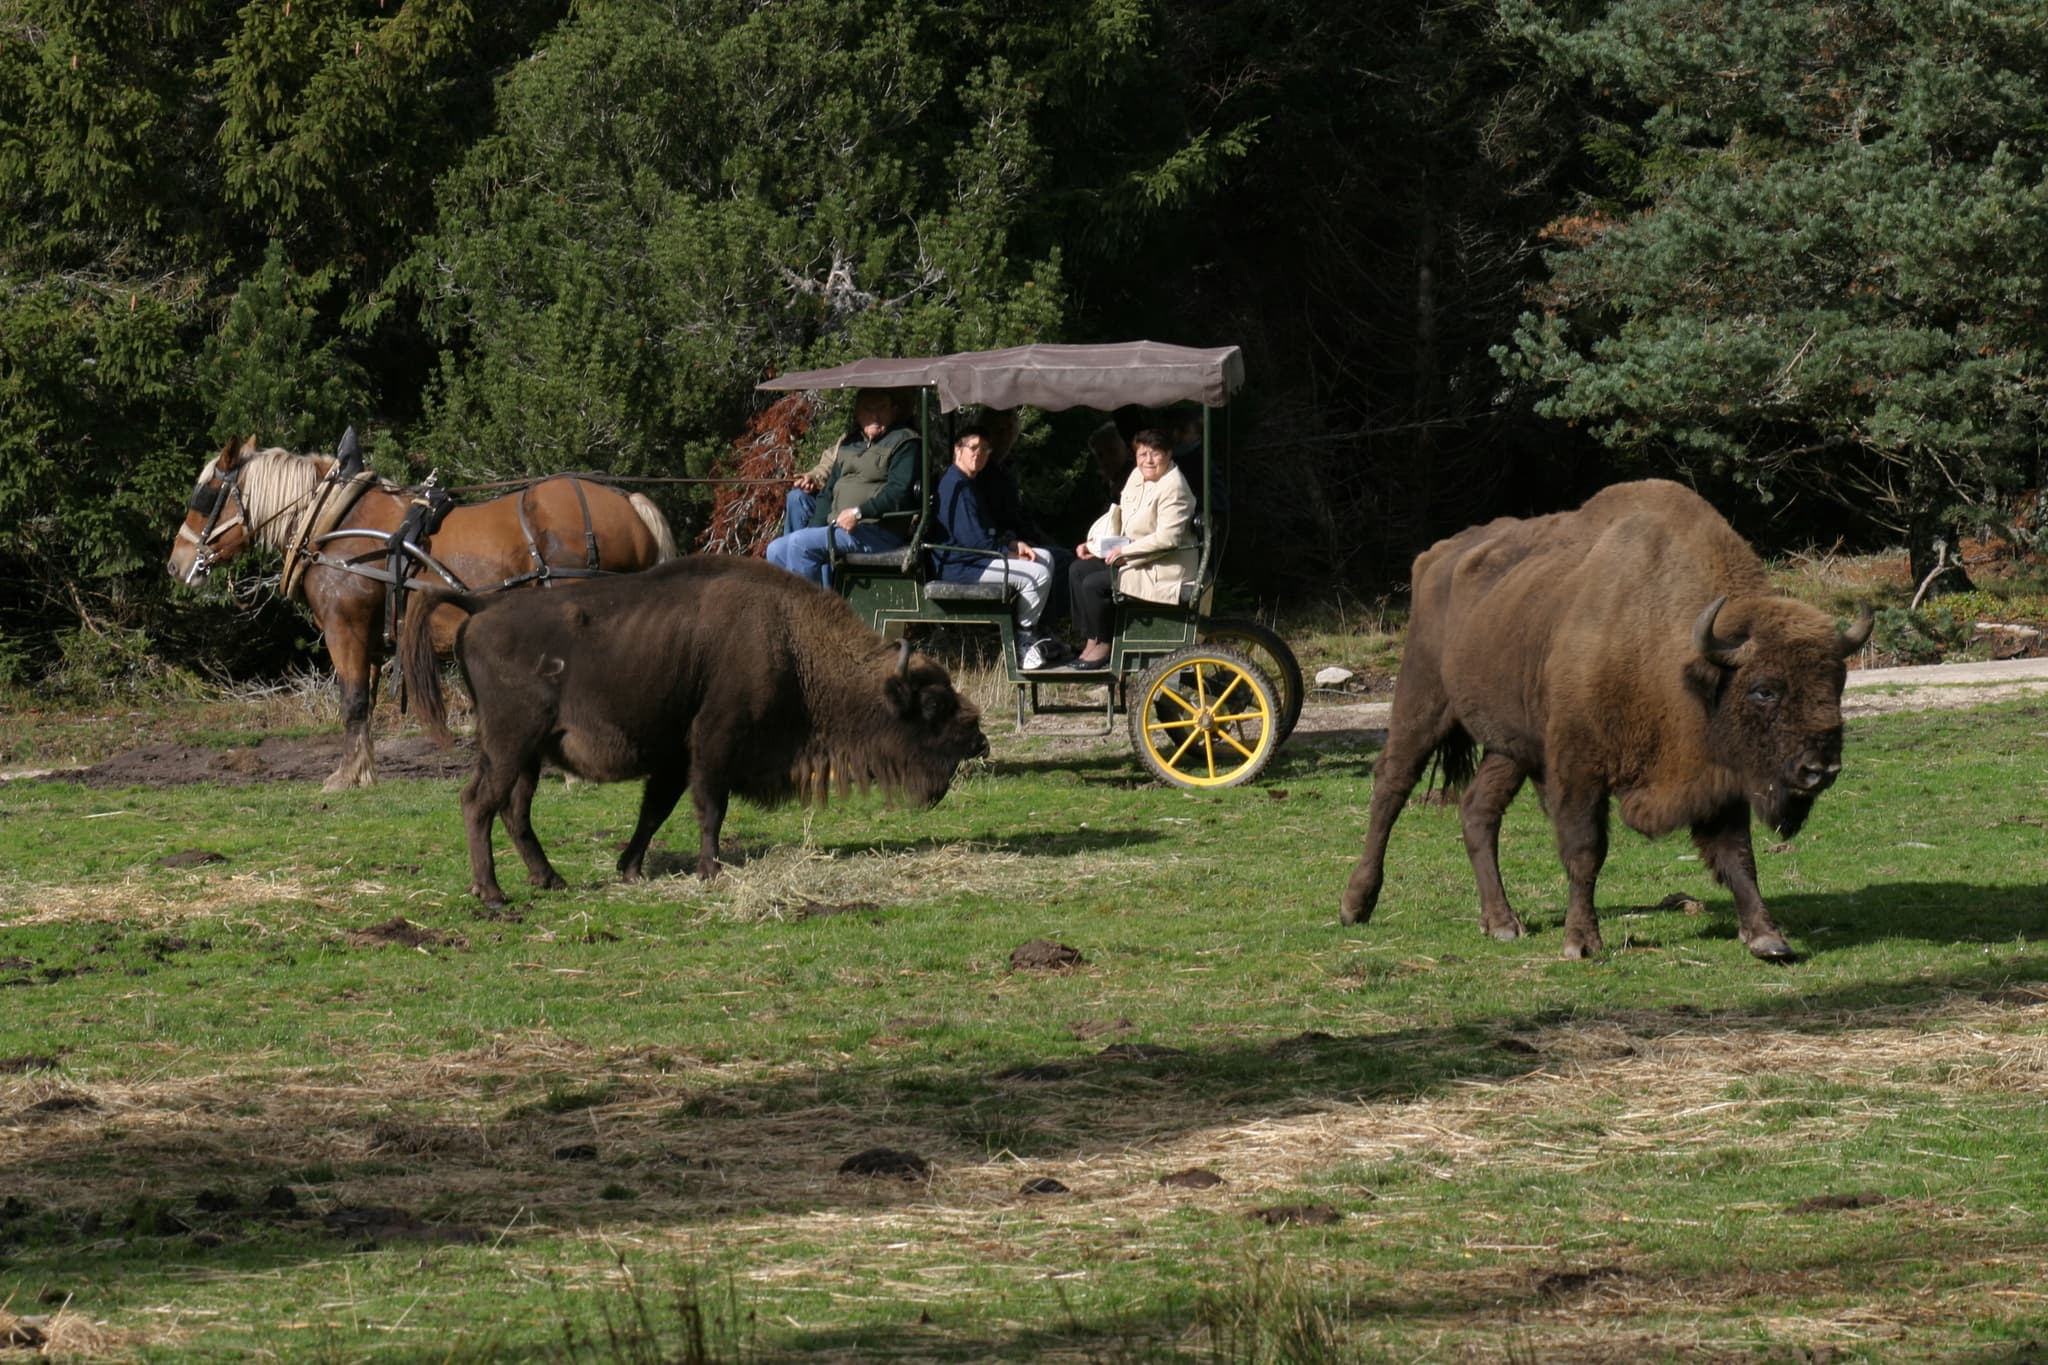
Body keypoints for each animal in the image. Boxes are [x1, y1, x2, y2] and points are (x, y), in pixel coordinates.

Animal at [404, 555, 989, 906]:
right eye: (933, 703)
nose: (979, 737)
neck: (789, 643)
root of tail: (481, 606)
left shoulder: (674, 757)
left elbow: (654, 811)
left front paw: (630, 869)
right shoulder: (713, 743)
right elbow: (710, 807)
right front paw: (711, 869)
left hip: (526, 752)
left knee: (513, 810)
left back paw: (549, 880)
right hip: (511, 743)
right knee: (480, 803)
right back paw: (492, 893)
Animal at [1341, 479, 1872, 961]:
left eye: (1837, 683)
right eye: (1764, 689)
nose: (1820, 770)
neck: (1670, 657)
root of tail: (1435, 555)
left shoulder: (1718, 780)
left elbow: (1737, 855)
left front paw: (1767, 938)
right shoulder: (1580, 769)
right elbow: (1585, 852)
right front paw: (1581, 942)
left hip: (1513, 745)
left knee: (1477, 810)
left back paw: (1502, 923)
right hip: (1422, 700)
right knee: (1391, 785)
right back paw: (1355, 905)